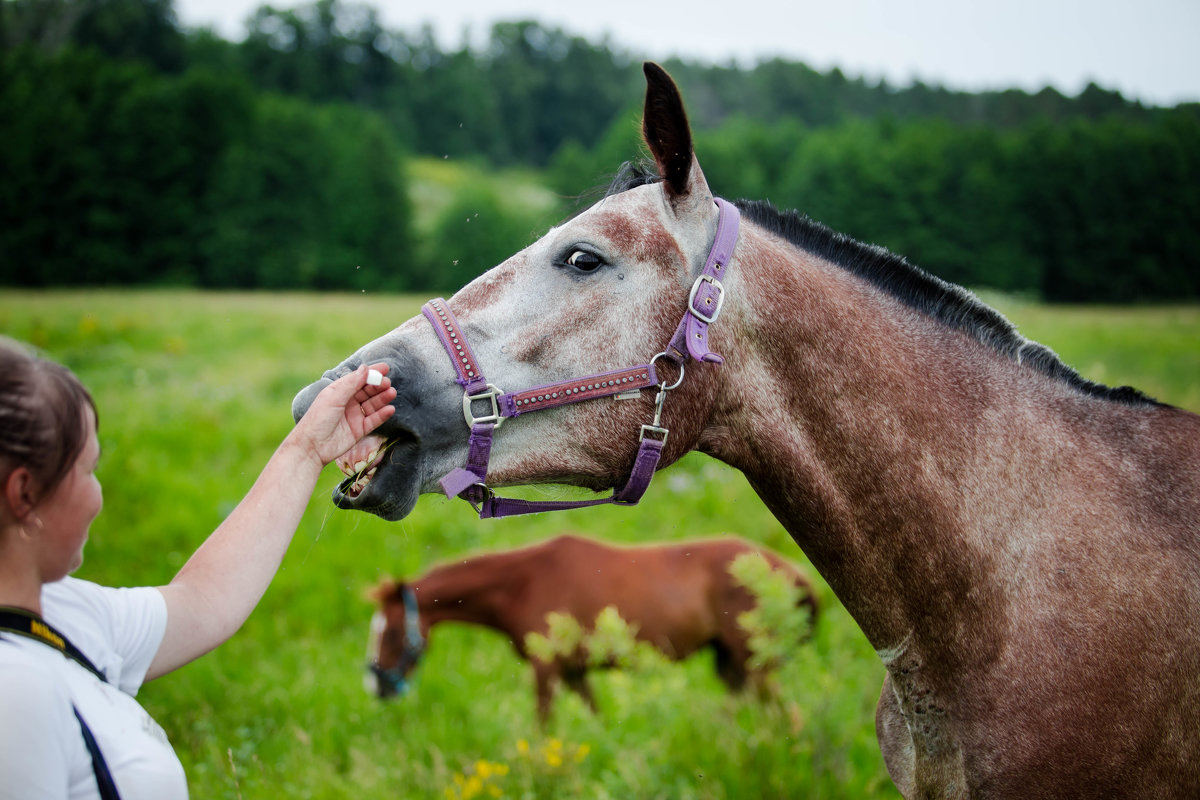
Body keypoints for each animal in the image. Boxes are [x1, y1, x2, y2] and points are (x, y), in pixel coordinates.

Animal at [364, 534, 816, 724]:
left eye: (392, 633)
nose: (376, 686)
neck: (522, 583)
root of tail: (790, 572)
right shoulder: (574, 672)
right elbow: (595, 722)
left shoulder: (547, 671)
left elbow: (544, 729)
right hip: (731, 665)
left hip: (755, 666)